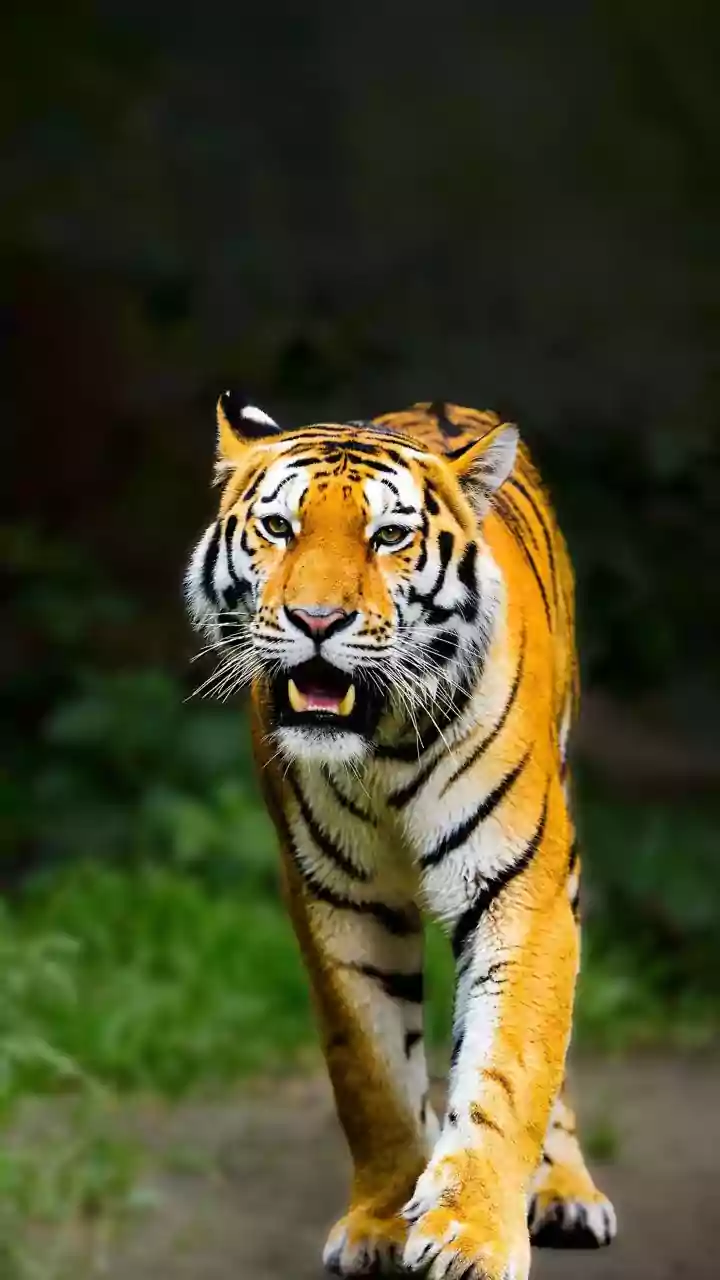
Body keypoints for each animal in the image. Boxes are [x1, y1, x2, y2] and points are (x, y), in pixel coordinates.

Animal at [185, 393, 617, 1280]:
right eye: (278, 527)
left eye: (389, 537)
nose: (318, 620)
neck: (379, 745)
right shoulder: (340, 902)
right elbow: (373, 1072)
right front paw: (383, 1223)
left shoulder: (519, 890)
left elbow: (510, 1068)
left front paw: (471, 1236)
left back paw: (565, 1191)